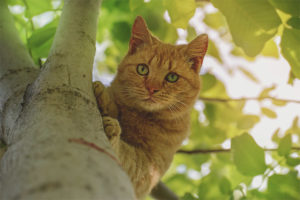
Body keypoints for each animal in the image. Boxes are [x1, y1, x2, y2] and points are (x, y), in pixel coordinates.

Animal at [92, 15, 207, 198]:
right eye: (142, 69)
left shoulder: (148, 171)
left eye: (172, 77)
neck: (140, 117)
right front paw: (104, 98)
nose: (152, 88)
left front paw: (112, 127)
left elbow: (127, 156)